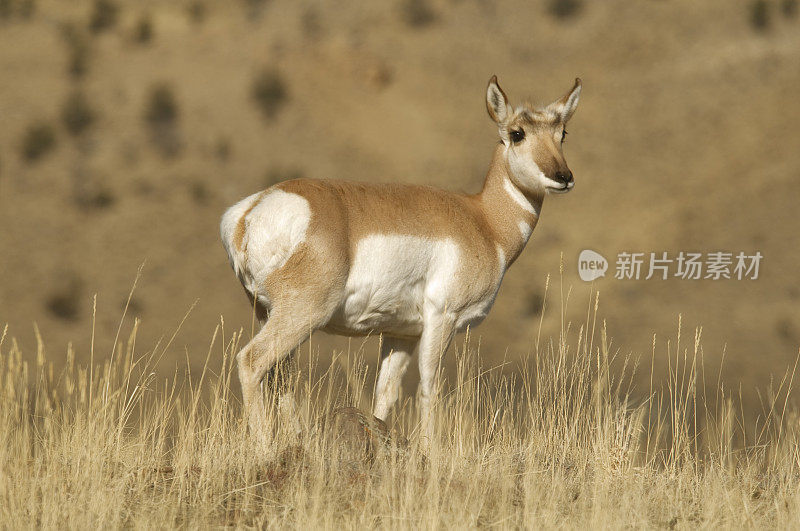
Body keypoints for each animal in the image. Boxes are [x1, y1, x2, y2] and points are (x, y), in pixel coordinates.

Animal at [219, 75, 580, 444]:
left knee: (282, 376)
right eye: (517, 133)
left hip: (269, 314)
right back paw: (264, 444)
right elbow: (429, 388)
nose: (563, 176)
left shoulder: (400, 334)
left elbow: (386, 393)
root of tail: (250, 211)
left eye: (562, 133)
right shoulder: (442, 318)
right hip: (302, 314)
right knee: (252, 361)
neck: (484, 221)